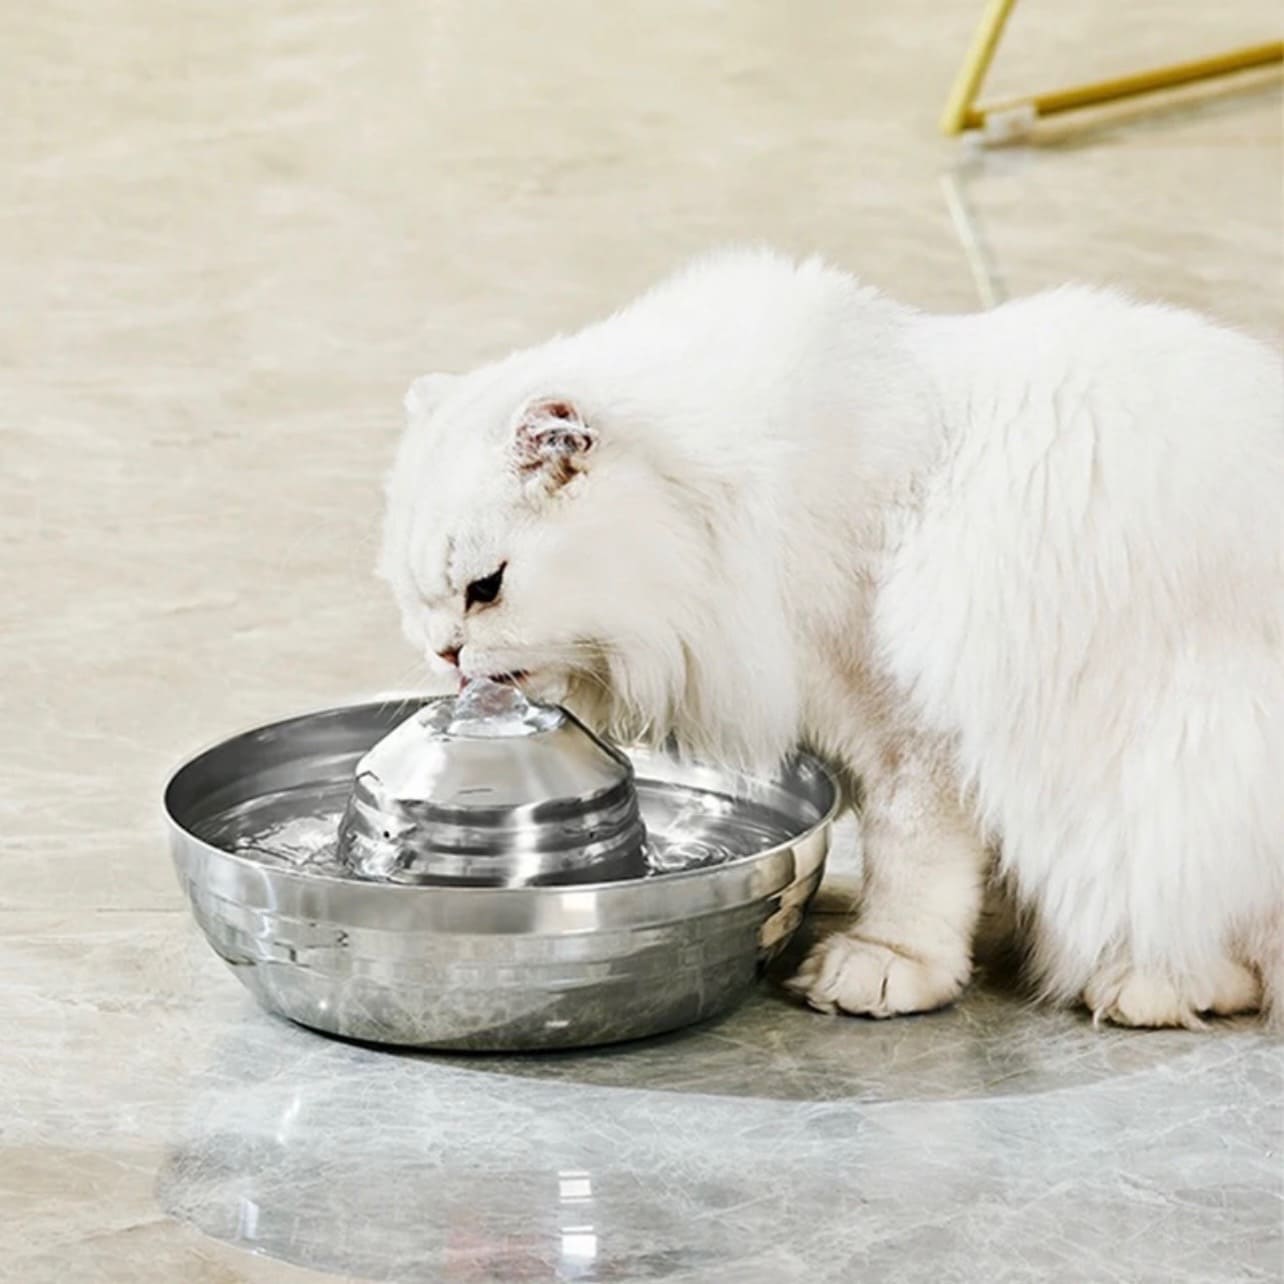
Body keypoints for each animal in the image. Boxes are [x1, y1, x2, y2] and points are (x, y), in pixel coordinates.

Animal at [374, 247, 1278, 1032]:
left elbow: (913, 855)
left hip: (1192, 756)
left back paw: (1145, 983)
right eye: (420, 603)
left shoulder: (916, 729)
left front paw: (888, 962)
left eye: (485, 589)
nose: (447, 654)